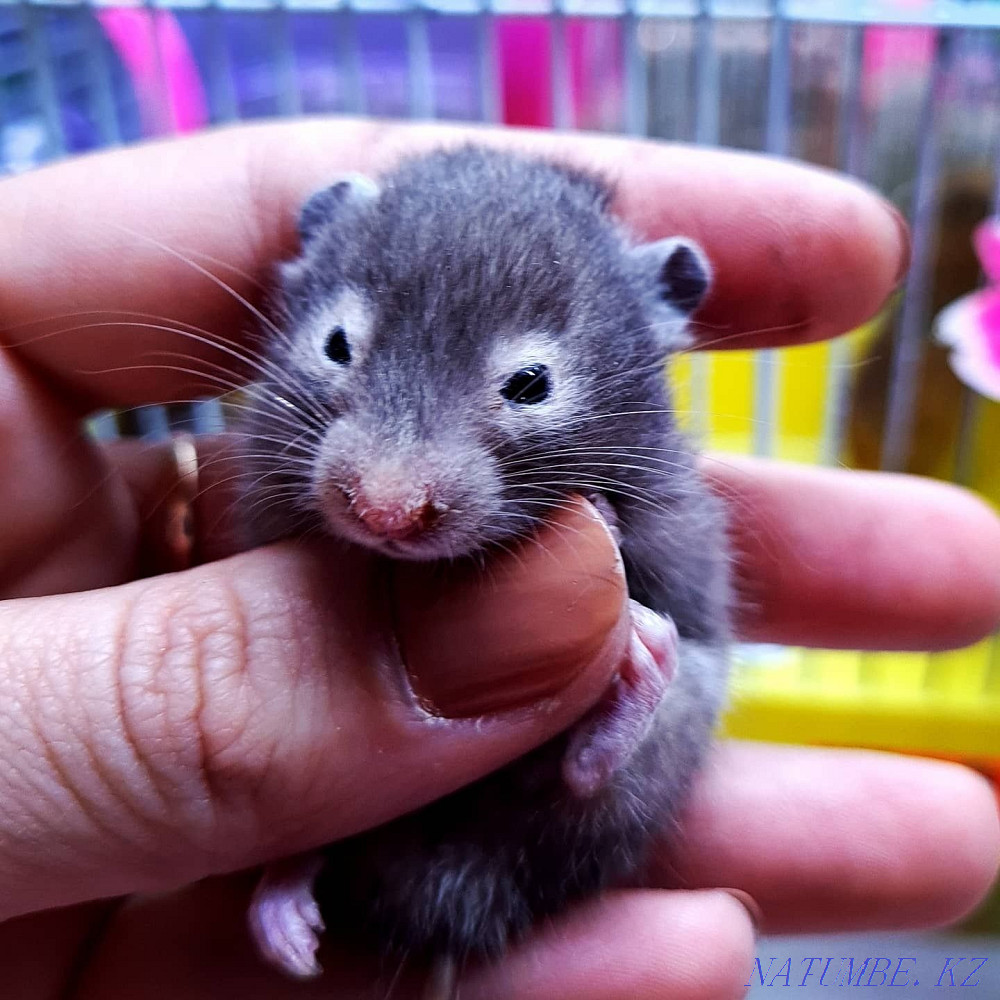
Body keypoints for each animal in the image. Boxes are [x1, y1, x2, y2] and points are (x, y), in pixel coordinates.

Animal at [237, 147, 732, 988]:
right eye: (336, 345)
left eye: (531, 385)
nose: (385, 515)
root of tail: (453, 904)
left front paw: (603, 524)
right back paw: (284, 923)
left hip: (671, 744)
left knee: (588, 776)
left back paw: (640, 659)